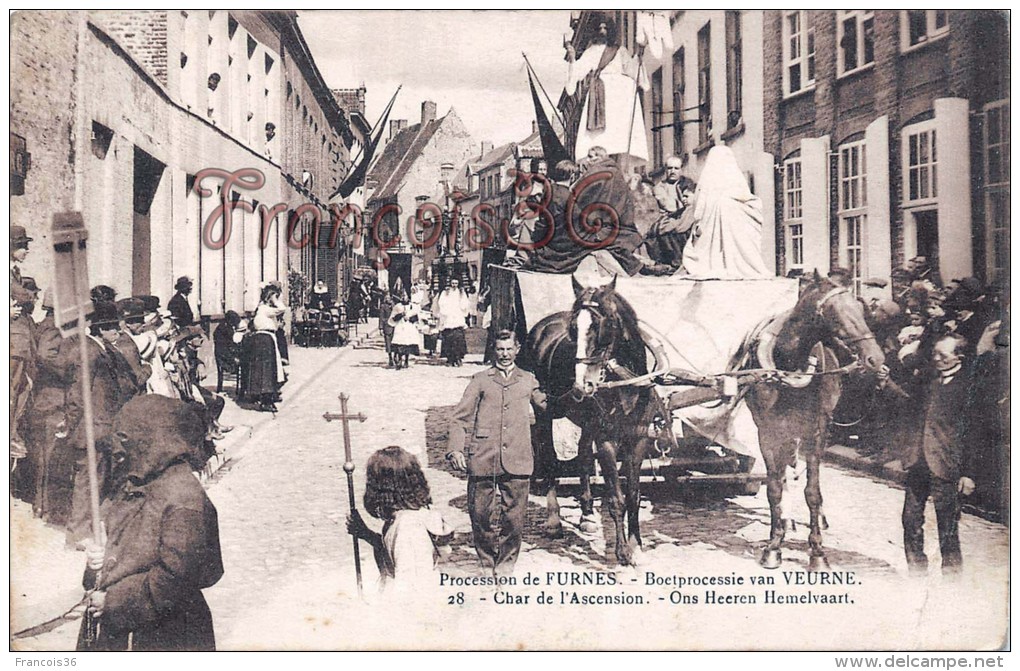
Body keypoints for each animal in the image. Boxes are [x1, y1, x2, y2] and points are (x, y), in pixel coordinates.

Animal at [522, 275, 673, 562]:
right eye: (573, 329)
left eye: (605, 324)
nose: (583, 384)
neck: (626, 386)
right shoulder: (607, 443)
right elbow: (616, 498)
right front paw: (622, 552)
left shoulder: (638, 440)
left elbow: (634, 495)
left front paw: (636, 545)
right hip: (544, 413)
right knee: (548, 459)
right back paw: (553, 520)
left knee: (582, 452)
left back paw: (587, 514)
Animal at [738, 271, 889, 571]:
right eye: (835, 313)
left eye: (861, 310)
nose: (876, 359)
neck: (788, 365)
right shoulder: (767, 433)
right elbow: (774, 487)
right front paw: (774, 545)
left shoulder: (816, 432)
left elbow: (812, 492)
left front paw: (817, 552)